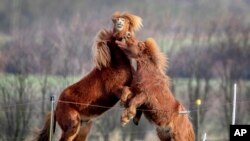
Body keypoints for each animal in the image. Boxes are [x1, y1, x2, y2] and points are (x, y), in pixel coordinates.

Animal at [36, 11, 144, 141]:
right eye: (116, 23)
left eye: (126, 22)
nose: (120, 22)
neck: (116, 65)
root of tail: (56, 109)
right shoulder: (114, 89)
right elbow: (126, 92)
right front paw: (126, 113)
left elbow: (137, 95)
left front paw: (133, 116)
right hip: (72, 127)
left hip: (83, 129)